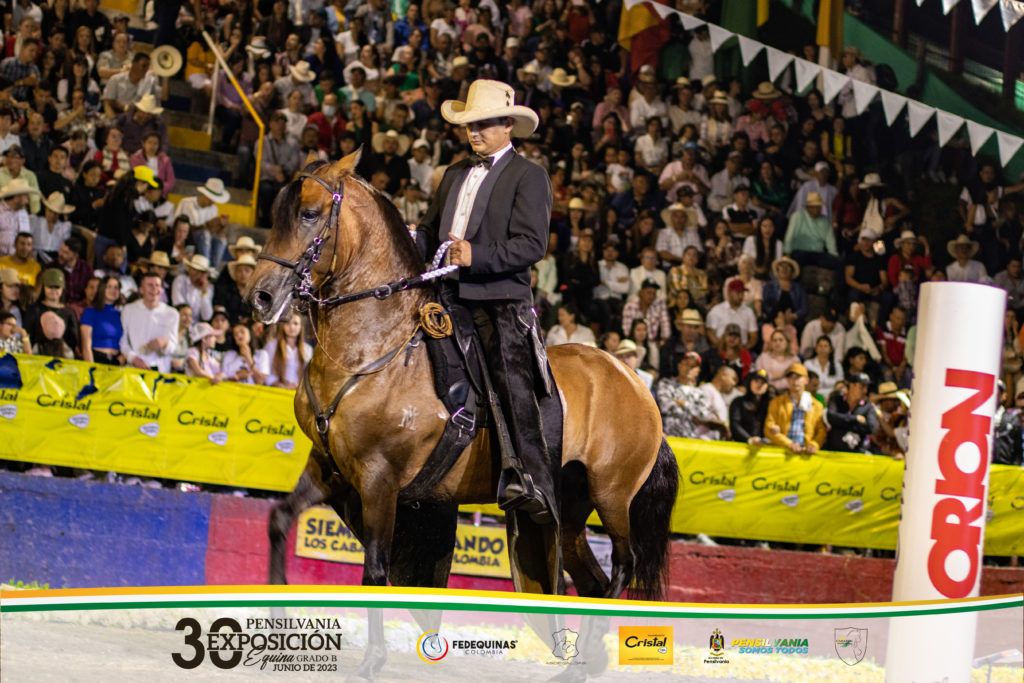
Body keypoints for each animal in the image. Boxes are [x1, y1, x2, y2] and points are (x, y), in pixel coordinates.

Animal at [247, 153, 679, 679]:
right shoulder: (329, 467)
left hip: (612, 494)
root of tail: (636, 383)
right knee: (593, 579)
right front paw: (277, 629)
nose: (261, 298)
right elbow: (278, 521)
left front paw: (372, 660)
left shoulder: (379, 479)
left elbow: (375, 569)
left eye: (309, 214)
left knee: (623, 563)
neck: (373, 348)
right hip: (572, 510)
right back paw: (584, 662)